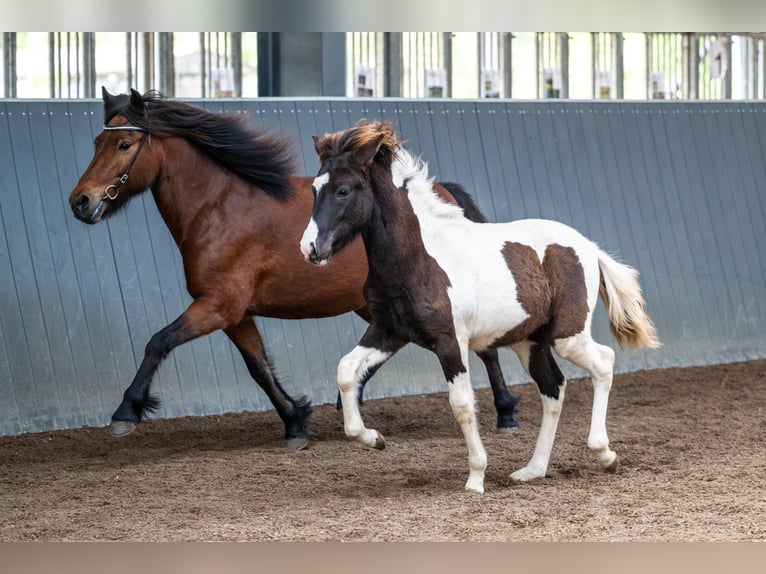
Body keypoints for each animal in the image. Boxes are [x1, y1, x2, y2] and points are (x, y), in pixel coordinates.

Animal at [67, 88, 520, 449]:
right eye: (96, 141)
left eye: (125, 144)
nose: (81, 201)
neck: (218, 209)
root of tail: (447, 194)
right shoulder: (235, 314)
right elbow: (259, 368)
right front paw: (296, 421)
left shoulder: (218, 306)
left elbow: (157, 342)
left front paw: (126, 411)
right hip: (374, 304)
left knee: (483, 348)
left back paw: (506, 413)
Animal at [299, 120, 661, 492]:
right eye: (314, 188)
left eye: (343, 190)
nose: (310, 248)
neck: (417, 258)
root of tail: (589, 246)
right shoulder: (388, 331)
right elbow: (345, 371)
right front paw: (373, 438)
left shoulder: (449, 341)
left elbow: (461, 404)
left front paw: (476, 478)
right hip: (529, 341)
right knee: (553, 388)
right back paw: (532, 470)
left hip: (567, 335)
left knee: (603, 362)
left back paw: (605, 455)